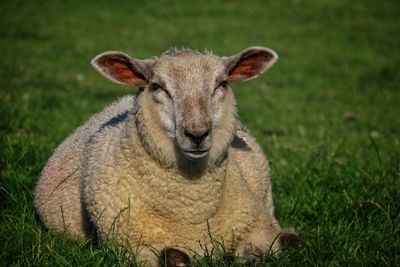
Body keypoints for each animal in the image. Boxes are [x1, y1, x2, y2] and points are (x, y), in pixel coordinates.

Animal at [34, 47, 294, 266]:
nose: (197, 134)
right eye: (158, 87)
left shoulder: (258, 228)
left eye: (222, 84)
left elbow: (259, 253)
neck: (192, 207)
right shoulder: (131, 245)